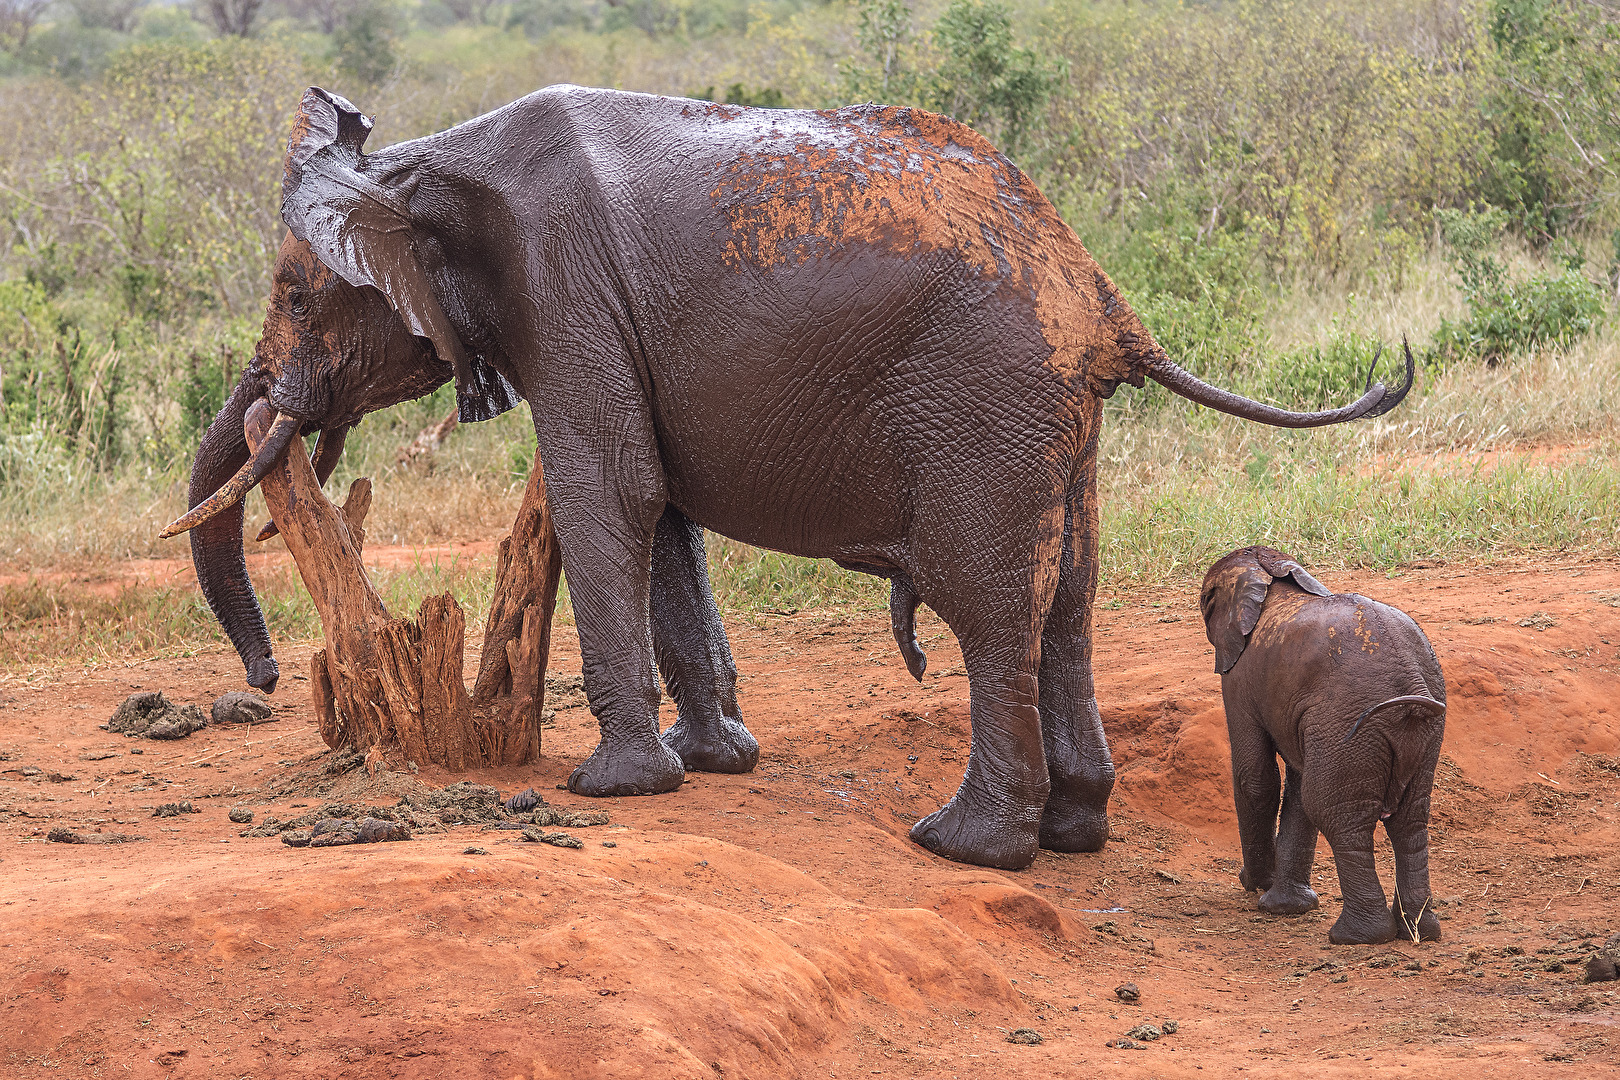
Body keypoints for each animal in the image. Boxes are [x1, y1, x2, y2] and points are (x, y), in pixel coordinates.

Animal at [165, 85, 1414, 871]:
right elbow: (663, 510)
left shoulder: (564, 298)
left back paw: (968, 850)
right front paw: (715, 765)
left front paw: (615, 788)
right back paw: (1071, 836)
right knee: (1068, 602)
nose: (265, 682)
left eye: (295, 296)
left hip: (987, 407)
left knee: (991, 610)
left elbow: (608, 495)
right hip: (1062, 430)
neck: (427, 159)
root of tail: (1102, 293)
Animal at [1199, 546, 1446, 944]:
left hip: (1348, 724)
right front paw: (1283, 905)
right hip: (1417, 732)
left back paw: (1357, 936)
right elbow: (1296, 786)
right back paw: (1419, 930)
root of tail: (1406, 679)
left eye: (1205, 601)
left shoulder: (1238, 678)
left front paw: (1257, 884)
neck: (1271, 570)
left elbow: (1256, 780)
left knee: (1337, 815)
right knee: (1410, 820)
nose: (1250, 881)